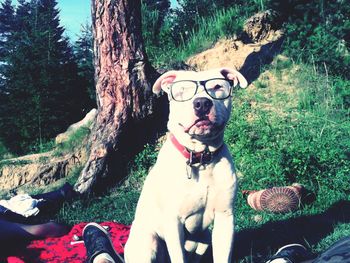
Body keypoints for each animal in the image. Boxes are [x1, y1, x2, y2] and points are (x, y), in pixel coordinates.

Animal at [124, 68, 247, 263]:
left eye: (217, 86)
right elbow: (178, 256)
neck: (201, 157)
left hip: (204, 239)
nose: (202, 103)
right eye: (183, 90)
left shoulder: (225, 217)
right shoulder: (173, 222)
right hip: (147, 242)